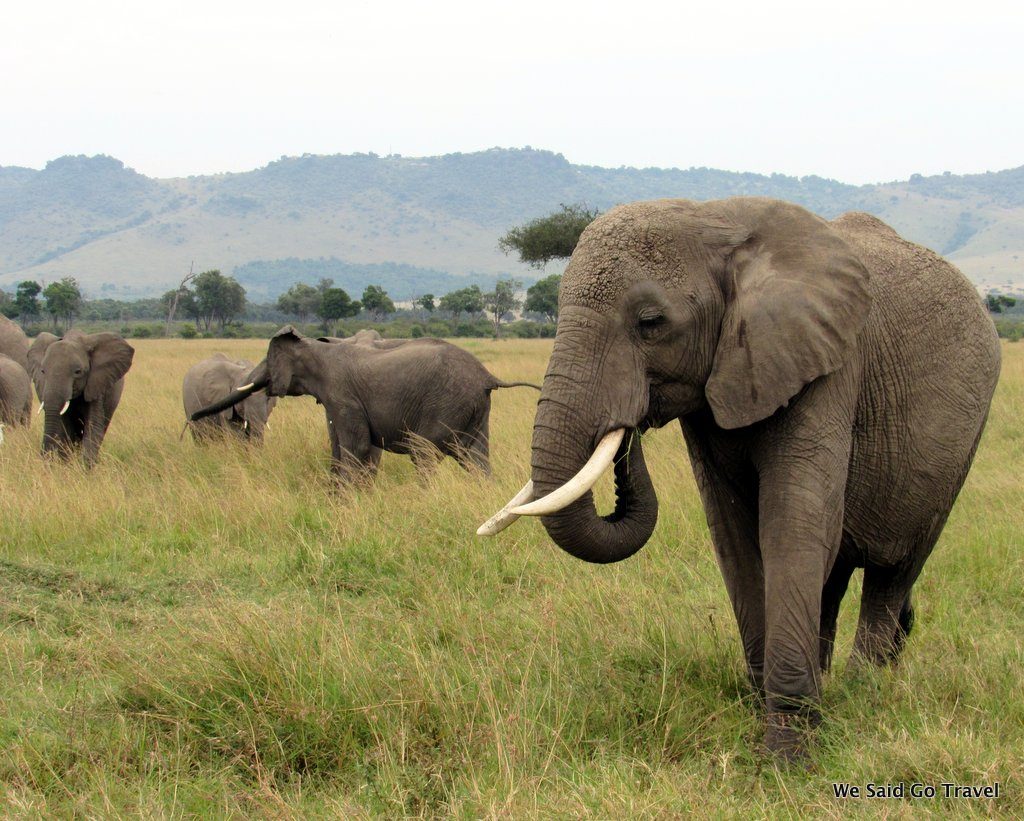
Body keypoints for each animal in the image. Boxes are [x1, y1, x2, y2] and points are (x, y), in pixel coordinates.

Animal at [27, 330, 135, 467]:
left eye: (78, 372)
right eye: (42, 371)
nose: (43, 457)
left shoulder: (96, 384)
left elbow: (93, 426)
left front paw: (85, 467)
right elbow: (64, 428)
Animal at [189, 326, 539, 478]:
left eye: (268, 358)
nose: (192, 417)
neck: (319, 346)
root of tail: (487, 376)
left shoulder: (343, 397)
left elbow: (354, 448)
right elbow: (346, 449)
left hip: (447, 403)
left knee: (424, 453)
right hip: (474, 410)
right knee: (476, 459)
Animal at [479, 198, 1001, 759]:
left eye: (650, 323)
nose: (629, 426)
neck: (718, 221)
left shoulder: (827, 362)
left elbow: (792, 521)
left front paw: (787, 754)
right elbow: (733, 533)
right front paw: (764, 709)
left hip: (960, 446)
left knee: (894, 572)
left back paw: (866, 690)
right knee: (836, 573)